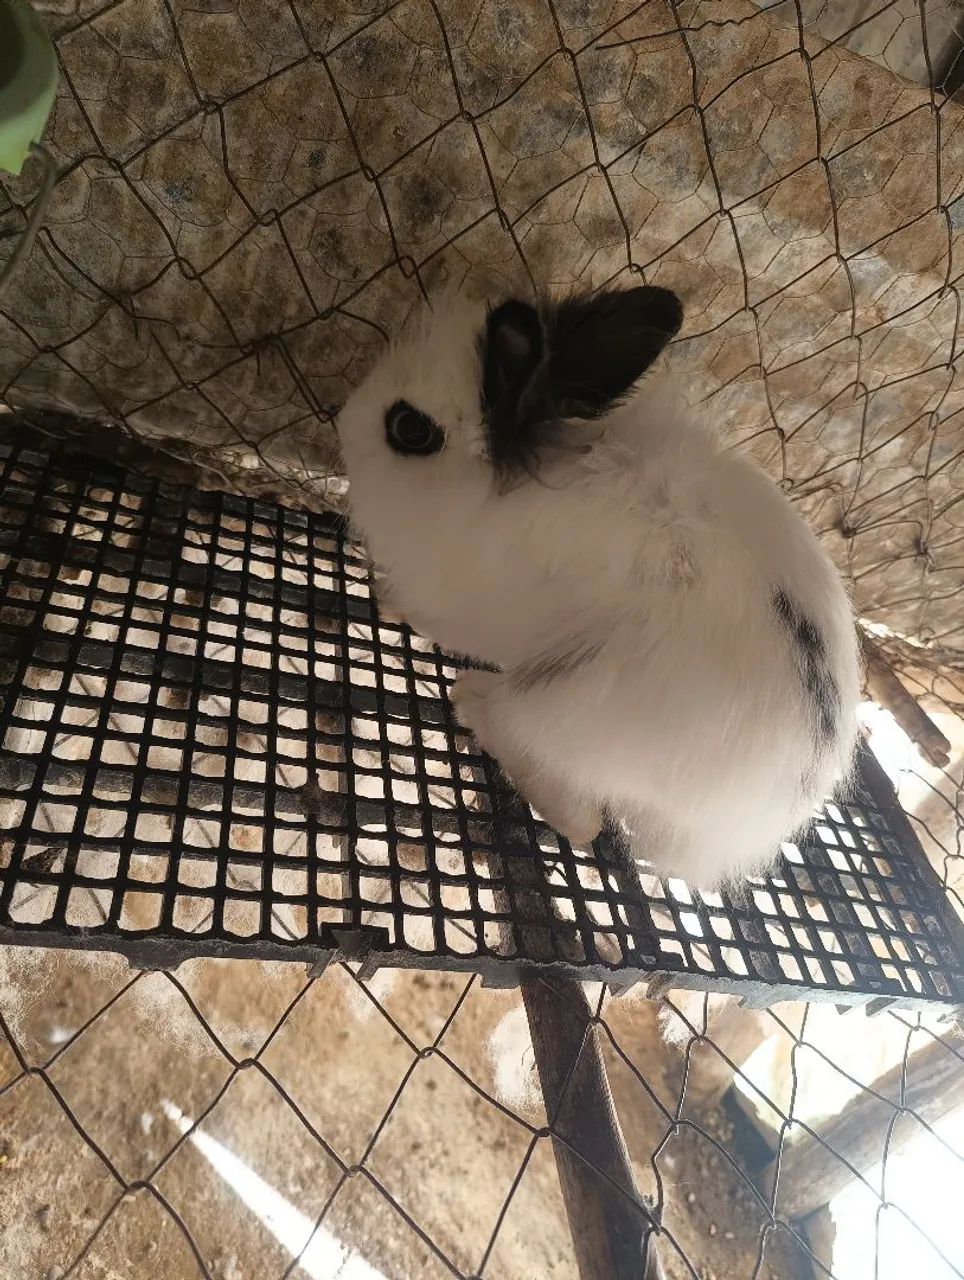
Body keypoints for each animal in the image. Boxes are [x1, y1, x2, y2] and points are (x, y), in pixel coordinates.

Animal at [335, 283, 860, 888]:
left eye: (410, 428)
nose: (339, 420)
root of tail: (734, 832)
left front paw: (388, 599)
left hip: (558, 707)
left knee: (581, 818)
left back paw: (472, 701)